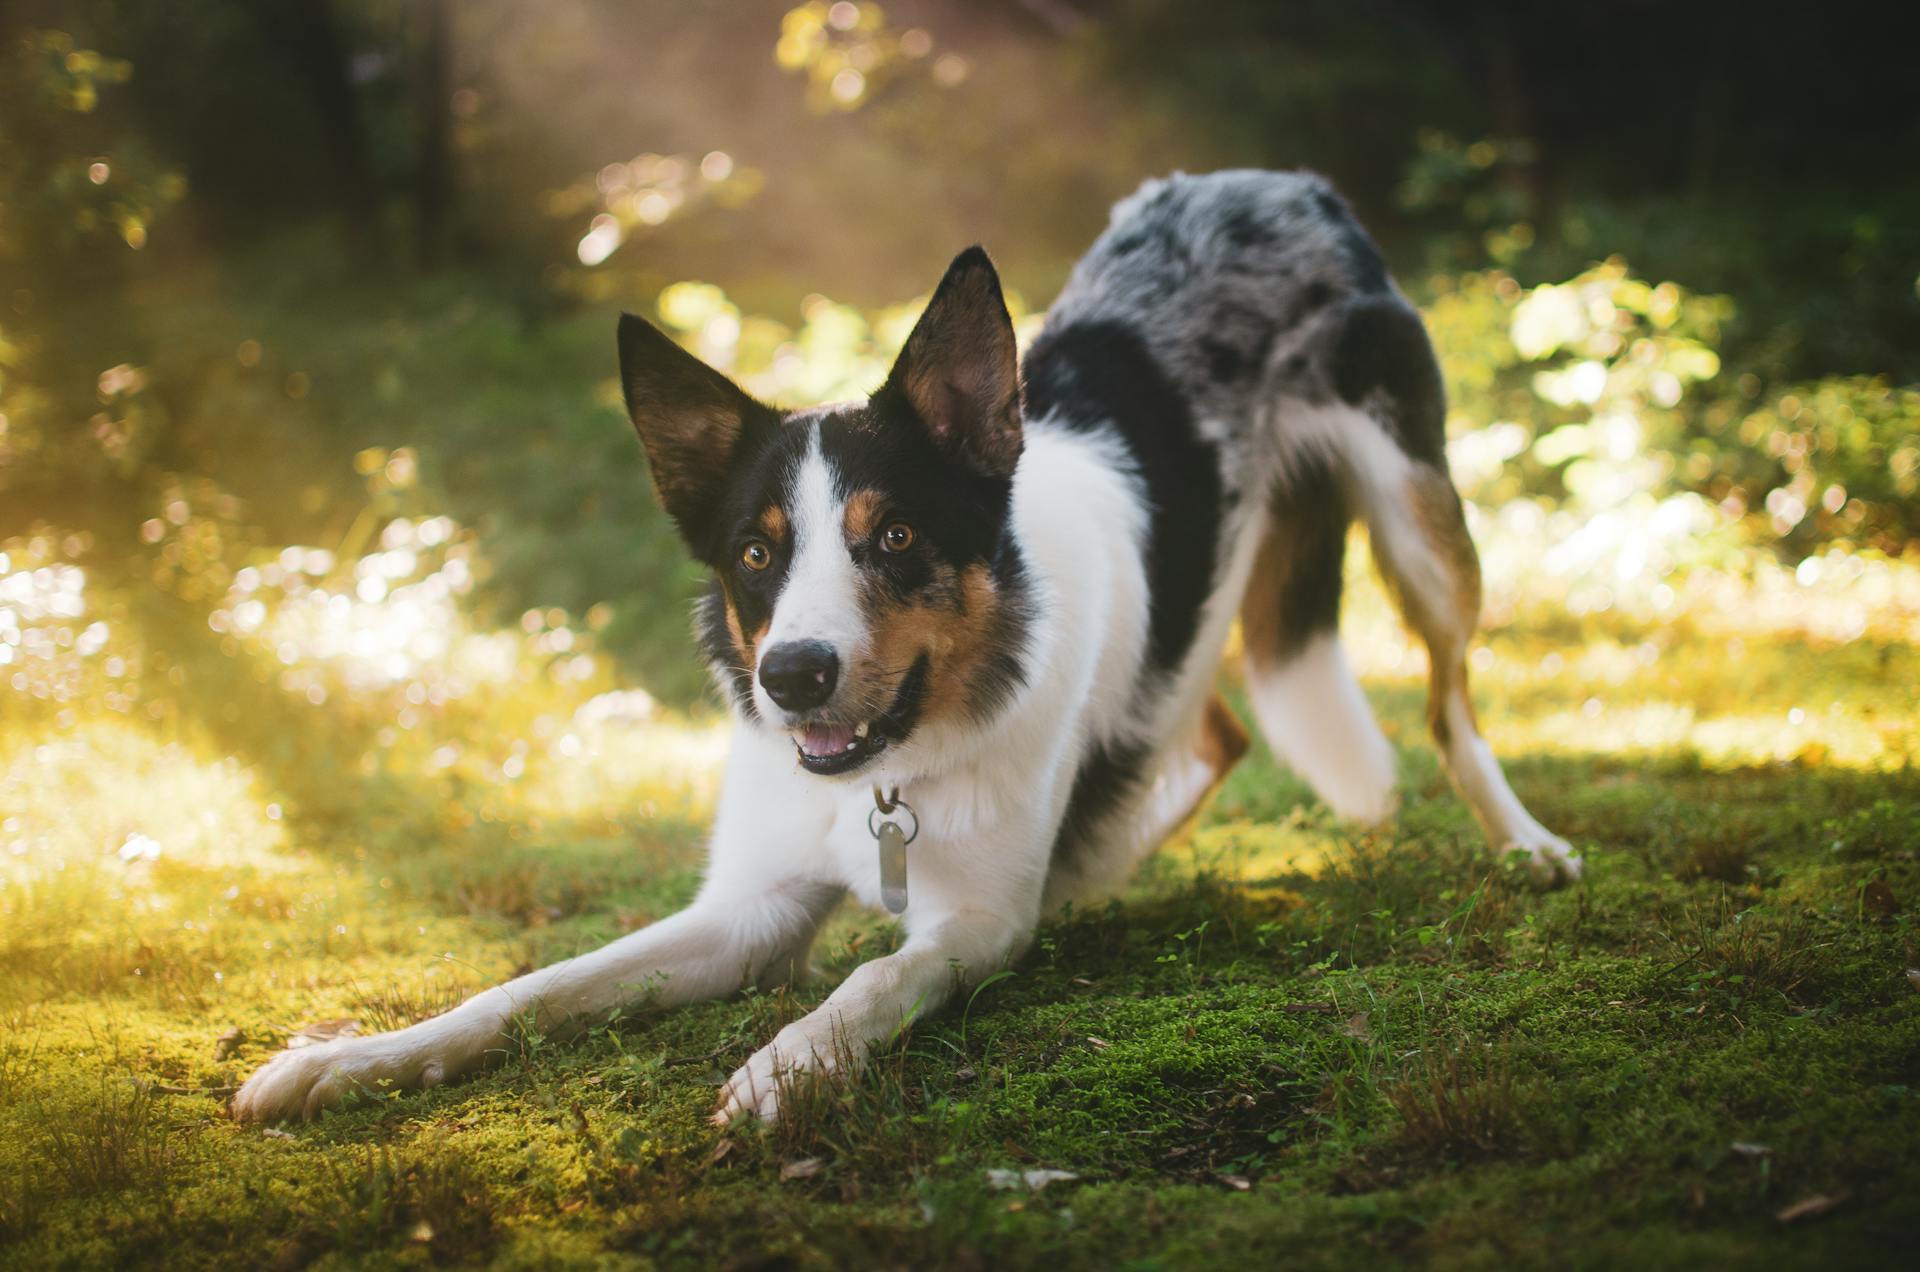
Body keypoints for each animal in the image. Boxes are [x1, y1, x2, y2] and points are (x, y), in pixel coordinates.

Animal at [232, 167, 1574, 1129]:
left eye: (895, 537)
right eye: (757, 554)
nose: (793, 678)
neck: (883, 775)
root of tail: (1279, 180)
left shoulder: (972, 926)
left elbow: (876, 977)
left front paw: (789, 1066)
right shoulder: (747, 912)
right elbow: (532, 987)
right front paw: (354, 1058)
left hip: (1420, 518)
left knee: (1448, 704)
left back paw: (1527, 844)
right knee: (1210, 730)